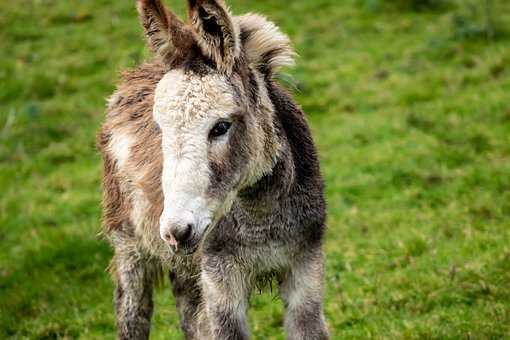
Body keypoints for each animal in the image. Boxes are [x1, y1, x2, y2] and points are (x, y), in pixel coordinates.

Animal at [97, 1, 328, 338]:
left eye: (220, 126)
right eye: (159, 129)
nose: (176, 232)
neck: (261, 217)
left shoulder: (305, 267)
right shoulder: (219, 279)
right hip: (130, 245)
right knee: (133, 313)